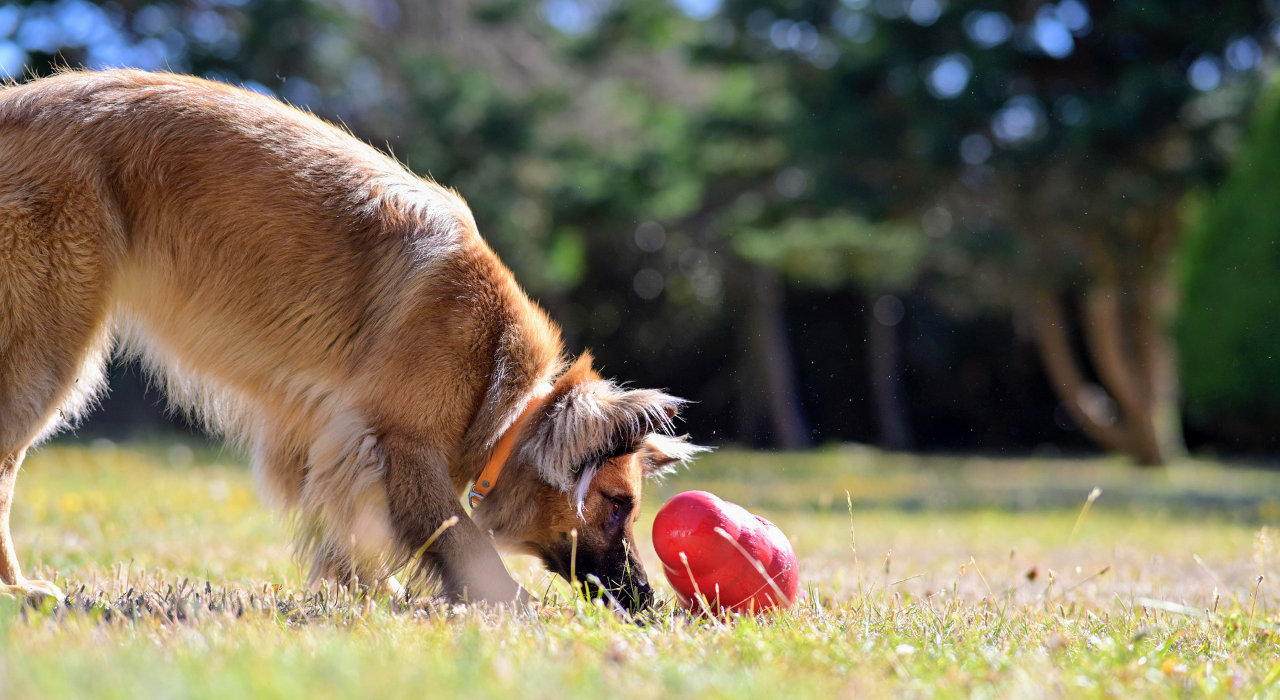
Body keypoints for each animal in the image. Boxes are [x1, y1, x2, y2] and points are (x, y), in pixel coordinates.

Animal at [0, 68, 711, 611]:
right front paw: (513, 610)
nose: (649, 604)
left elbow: (344, 536)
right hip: (45, 358)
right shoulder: (401, 444)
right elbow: (462, 541)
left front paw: (379, 600)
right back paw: (19, 591)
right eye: (618, 506)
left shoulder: (325, 438)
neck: (504, 394)